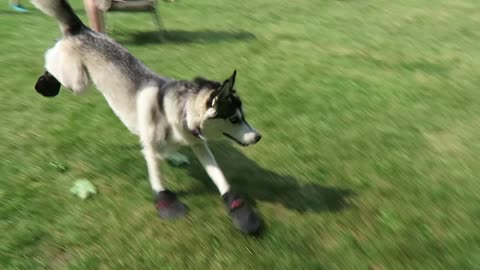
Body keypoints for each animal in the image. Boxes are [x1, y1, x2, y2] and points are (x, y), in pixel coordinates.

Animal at [31, 0, 262, 233]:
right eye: (234, 119)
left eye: (244, 116)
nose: (258, 136)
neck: (180, 112)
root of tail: (82, 29)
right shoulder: (151, 149)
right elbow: (157, 178)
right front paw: (166, 203)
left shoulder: (199, 145)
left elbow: (219, 176)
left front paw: (239, 209)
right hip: (77, 82)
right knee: (50, 58)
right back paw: (45, 84)